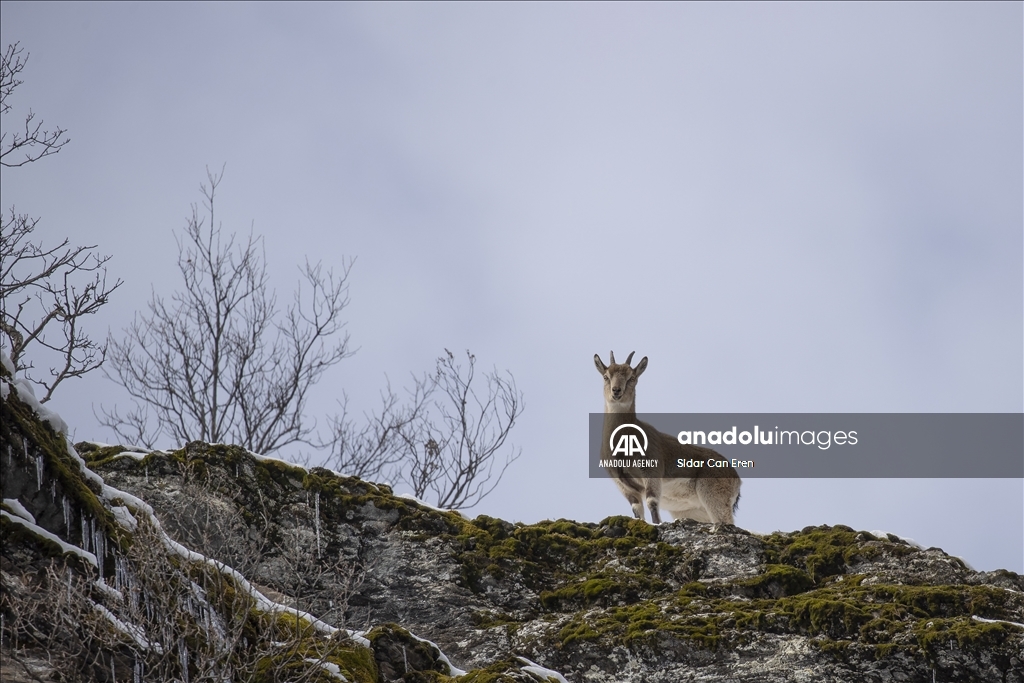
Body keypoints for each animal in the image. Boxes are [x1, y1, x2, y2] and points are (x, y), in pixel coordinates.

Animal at [593, 350, 745, 528]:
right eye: (606, 376)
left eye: (632, 377)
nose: (616, 391)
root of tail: (736, 478)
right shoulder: (623, 485)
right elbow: (637, 510)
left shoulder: (652, 472)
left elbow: (652, 502)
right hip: (694, 510)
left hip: (714, 496)